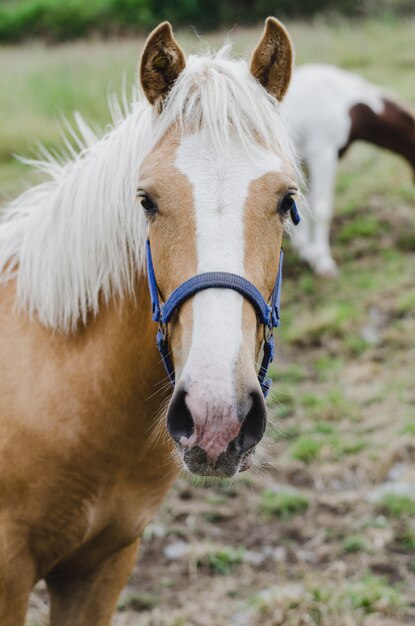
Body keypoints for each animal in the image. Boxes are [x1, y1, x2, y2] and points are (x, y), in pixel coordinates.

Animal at [282, 64, 415, 276]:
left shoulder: (305, 162)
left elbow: (303, 203)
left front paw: (307, 252)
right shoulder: (323, 155)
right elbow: (321, 209)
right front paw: (323, 263)